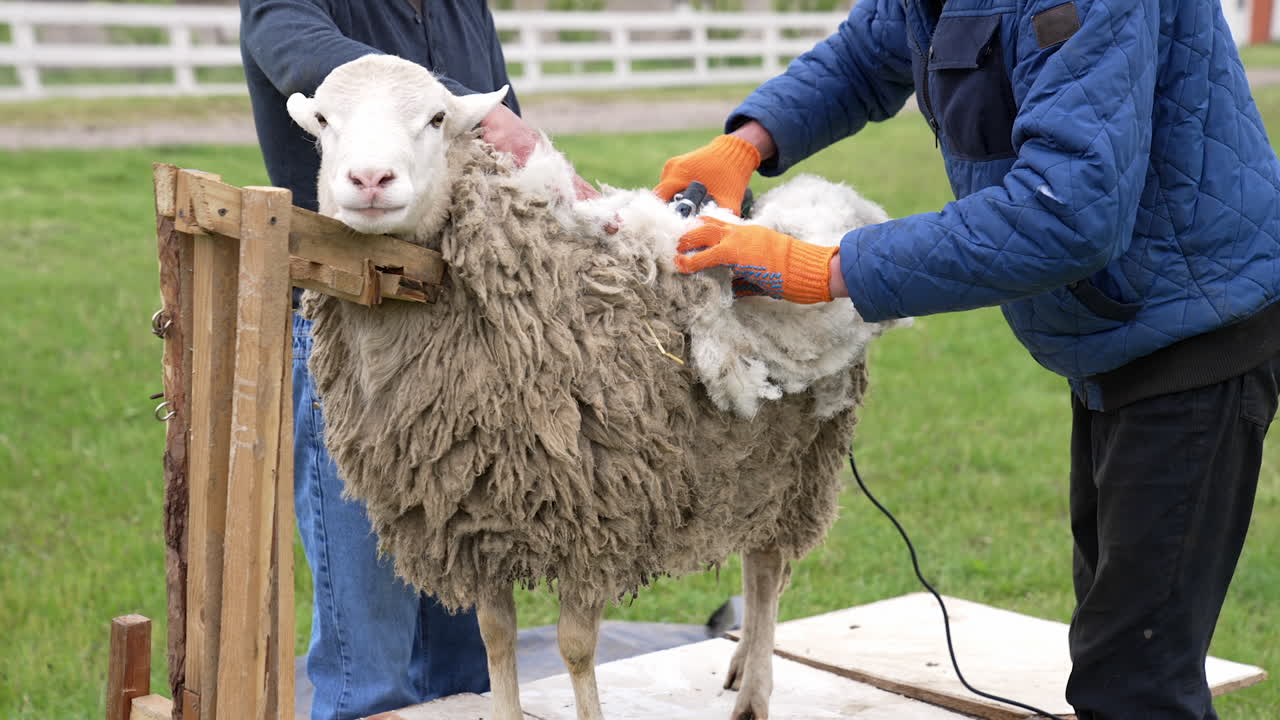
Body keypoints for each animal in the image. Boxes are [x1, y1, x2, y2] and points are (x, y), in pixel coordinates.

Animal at [286, 54, 904, 720]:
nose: (370, 179)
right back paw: (739, 665)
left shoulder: (599, 516)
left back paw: (755, 693)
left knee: (766, 570)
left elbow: (576, 648)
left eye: (436, 119)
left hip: (795, 468)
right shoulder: (474, 522)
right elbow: (496, 637)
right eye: (323, 123)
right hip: (744, 472)